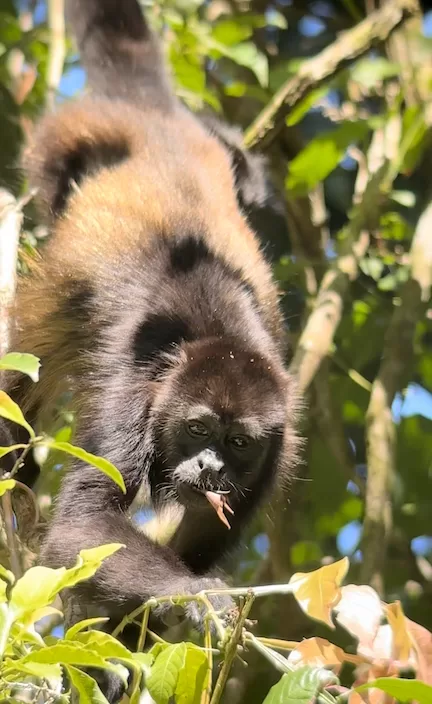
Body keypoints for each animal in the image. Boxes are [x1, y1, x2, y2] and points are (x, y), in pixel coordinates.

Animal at [0, 1, 300, 700]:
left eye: (238, 443)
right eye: (197, 429)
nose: (210, 467)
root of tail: (154, 118)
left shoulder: (277, 449)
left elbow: (201, 541)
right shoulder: (134, 394)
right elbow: (83, 527)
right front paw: (198, 598)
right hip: (65, 143)